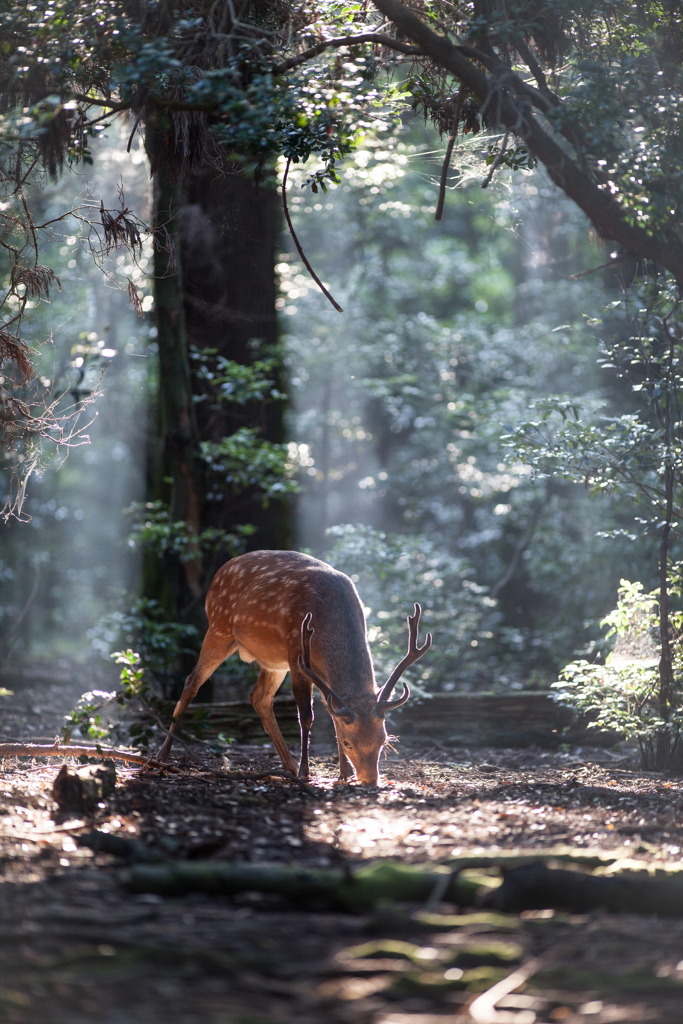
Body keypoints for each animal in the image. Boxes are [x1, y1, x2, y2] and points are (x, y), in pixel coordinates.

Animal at [157, 552, 430, 782]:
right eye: (349, 743)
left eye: (383, 740)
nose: (371, 780)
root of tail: (218, 573)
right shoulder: (298, 655)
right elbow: (307, 716)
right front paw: (305, 772)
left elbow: (333, 715)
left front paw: (343, 773)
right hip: (219, 627)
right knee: (191, 682)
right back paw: (162, 756)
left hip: (274, 662)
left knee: (259, 697)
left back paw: (287, 765)